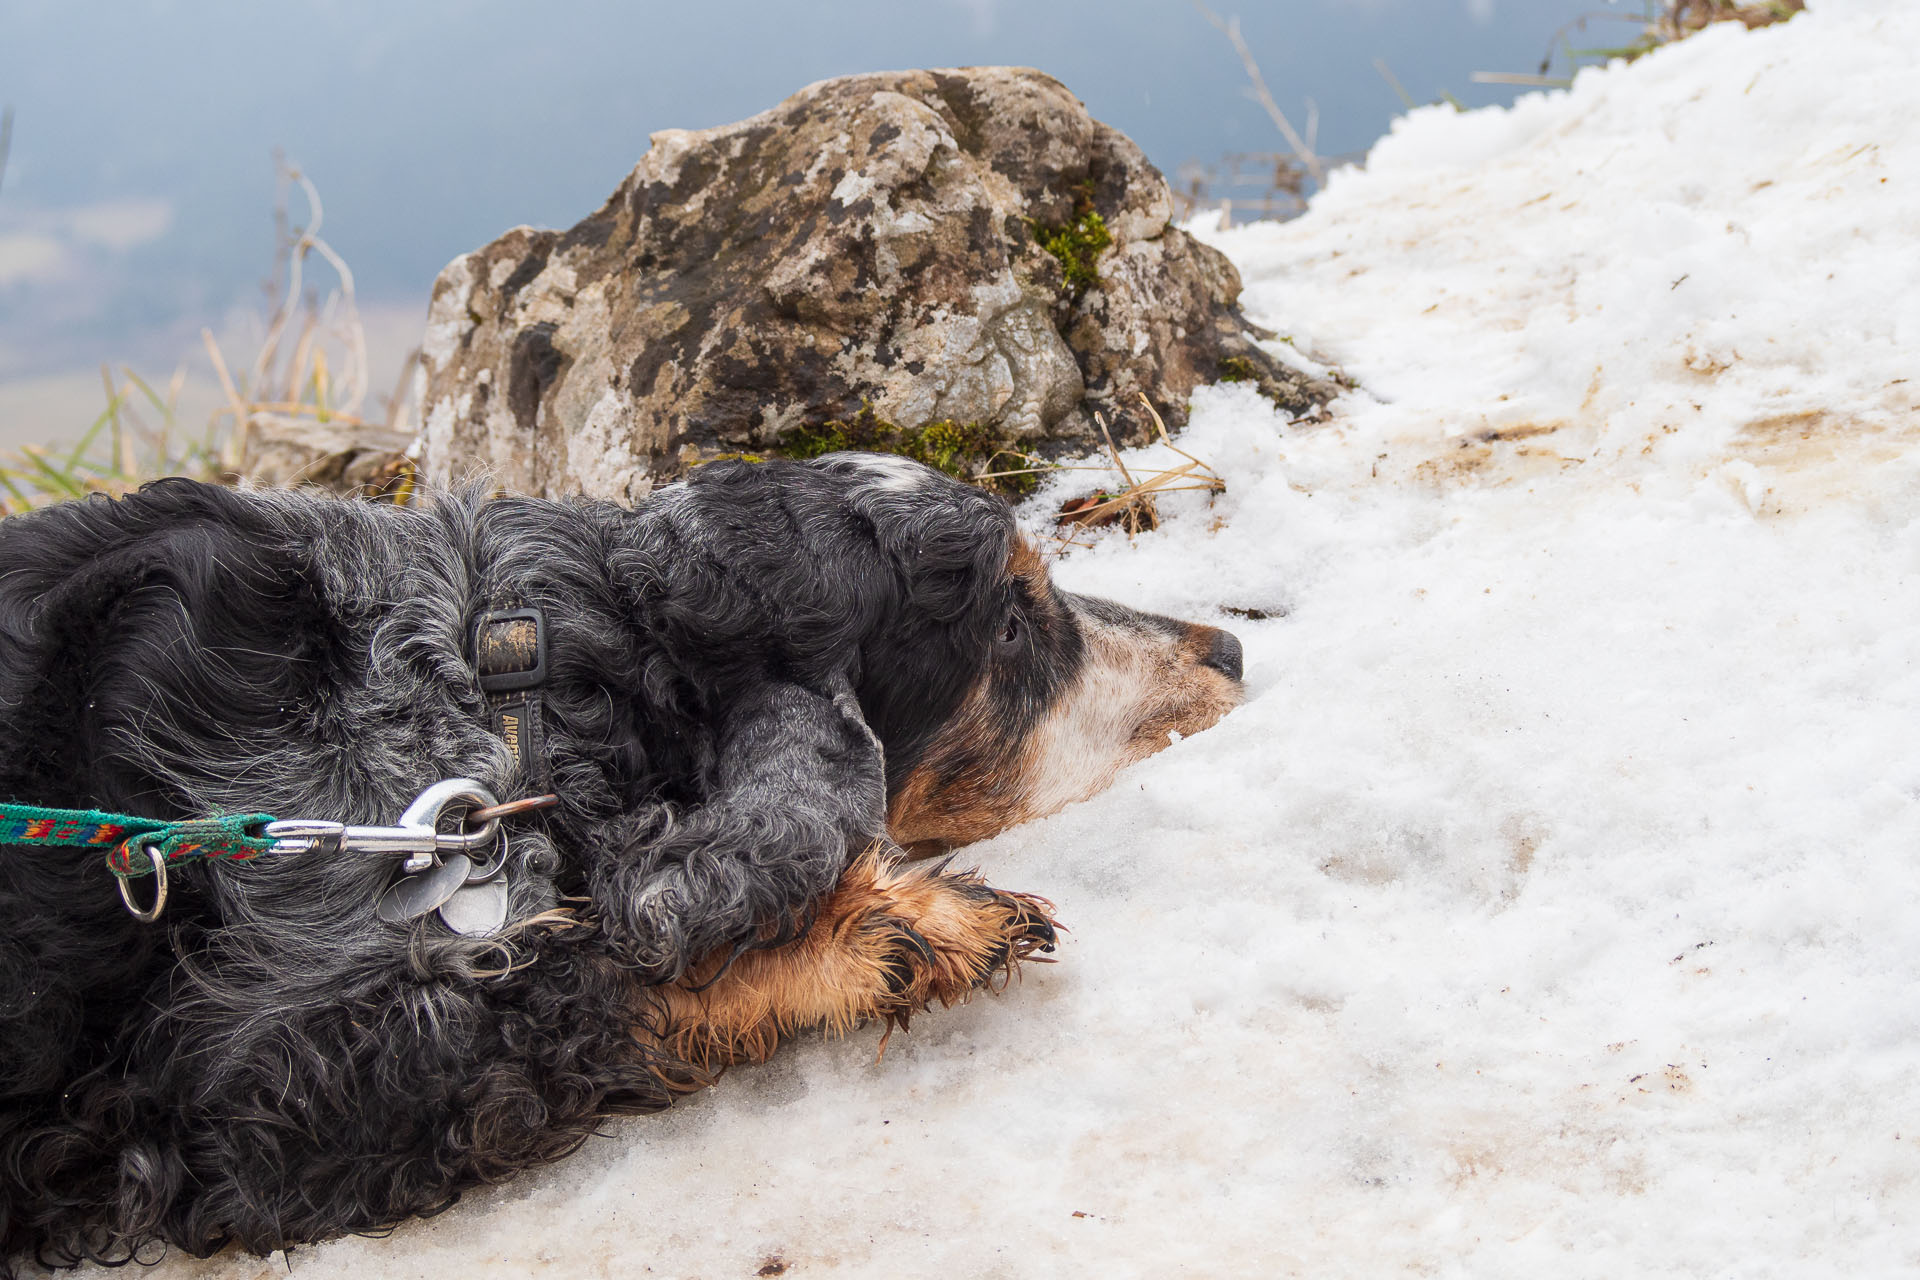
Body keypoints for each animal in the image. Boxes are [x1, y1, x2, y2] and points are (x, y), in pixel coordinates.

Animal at [0, 452, 1244, 1274]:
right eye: (1011, 626)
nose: (1229, 648)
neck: (501, 682)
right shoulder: (242, 1095)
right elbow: (590, 982)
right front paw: (903, 926)